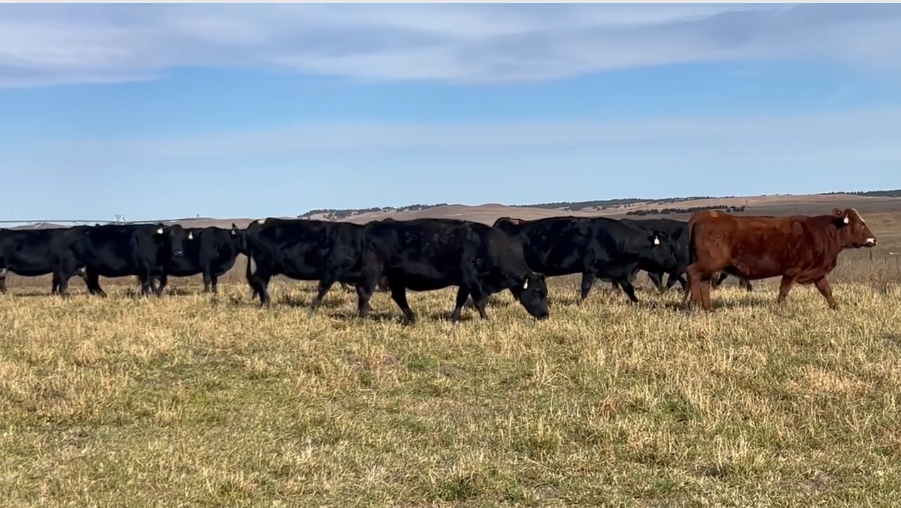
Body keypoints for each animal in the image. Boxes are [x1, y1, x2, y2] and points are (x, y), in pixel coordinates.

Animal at [53, 223, 190, 297]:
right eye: (170, 236)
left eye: (183, 238)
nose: (178, 252)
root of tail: (69, 232)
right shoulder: (145, 268)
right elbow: (146, 284)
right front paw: (145, 296)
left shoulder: (157, 270)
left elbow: (160, 283)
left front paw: (155, 295)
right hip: (69, 266)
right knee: (63, 282)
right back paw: (63, 297)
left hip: (89, 269)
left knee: (93, 284)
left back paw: (104, 296)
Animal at [357, 217, 549, 324]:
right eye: (537, 292)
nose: (545, 315)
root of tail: (373, 226)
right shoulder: (472, 278)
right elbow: (479, 301)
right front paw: (485, 319)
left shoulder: (464, 282)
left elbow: (460, 300)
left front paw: (453, 319)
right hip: (372, 272)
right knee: (364, 293)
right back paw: (361, 318)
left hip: (396, 278)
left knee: (399, 297)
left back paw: (412, 319)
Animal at [492, 216, 672, 304]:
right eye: (667, 247)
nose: (672, 262)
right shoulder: (590, 269)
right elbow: (585, 288)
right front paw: (582, 304)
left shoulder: (618, 271)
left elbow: (629, 288)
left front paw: (636, 302)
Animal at [684, 208, 877, 311]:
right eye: (861, 224)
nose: (874, 239)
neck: (822, 232)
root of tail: (704, 215)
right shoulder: (793, 271)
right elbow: (784, 290)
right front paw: (782, 309)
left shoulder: (818, 272)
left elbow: (826, 291)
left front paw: (835, 307)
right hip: (709, 263)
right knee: (692, 273)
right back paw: (693, 303)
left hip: (709, 268)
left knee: (704, 283)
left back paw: (708, 308)